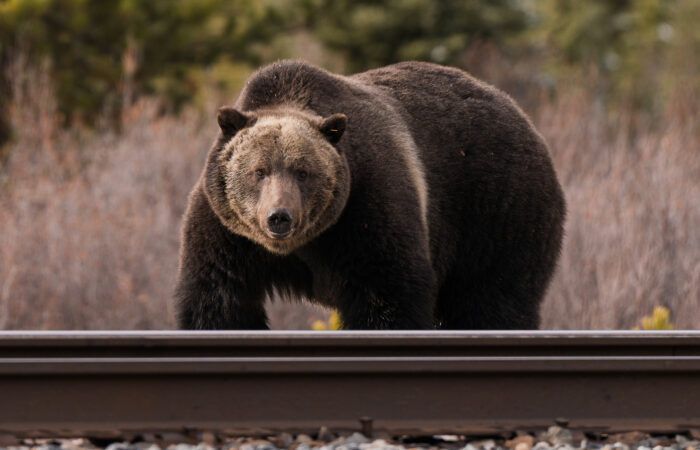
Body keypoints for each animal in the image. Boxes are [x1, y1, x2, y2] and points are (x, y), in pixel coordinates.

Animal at [174, 60, 566, 330]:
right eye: (258, 171)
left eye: (303, 172)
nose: (279, 217)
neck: (301, 247)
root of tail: (521, 114)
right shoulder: (227, 232)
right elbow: (218, 298)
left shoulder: (366, 207)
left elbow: (389, 289)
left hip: (496, 208)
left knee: (493, 296)